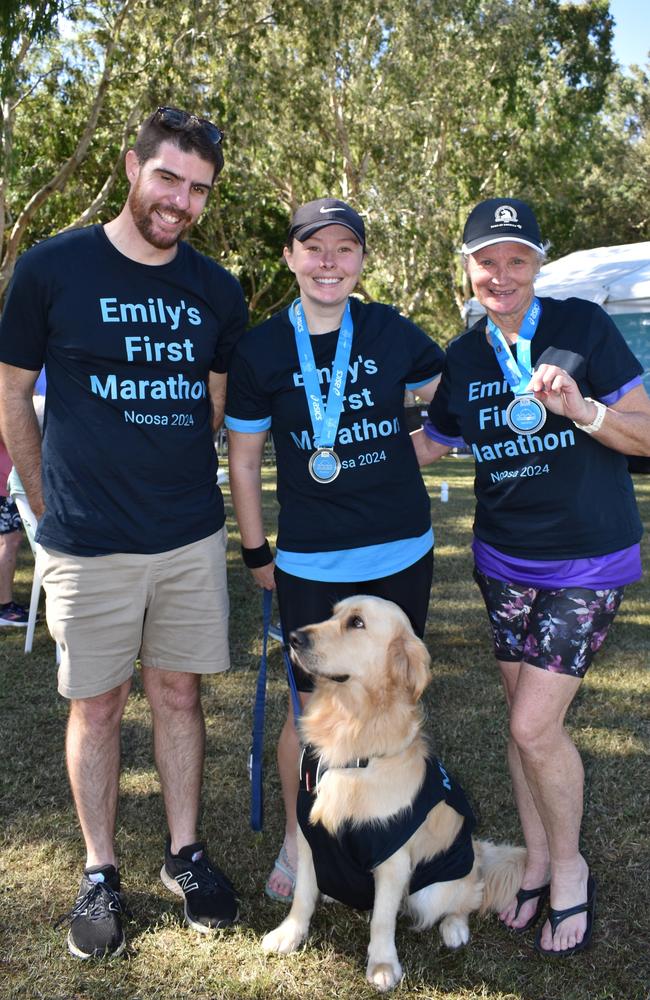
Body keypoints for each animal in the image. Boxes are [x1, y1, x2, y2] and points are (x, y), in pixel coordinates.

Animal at [260, 596, 524, 988]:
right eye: (332, 613)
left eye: (356, 623)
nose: (293, 637)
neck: (351, 734)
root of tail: (475, 850)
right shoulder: (311, 841)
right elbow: (302, 896)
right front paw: (289, 933)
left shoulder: (393, 859)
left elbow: (382, 920)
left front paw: (383, 965)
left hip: (436, 888)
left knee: (467, 896)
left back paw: (454, 928)